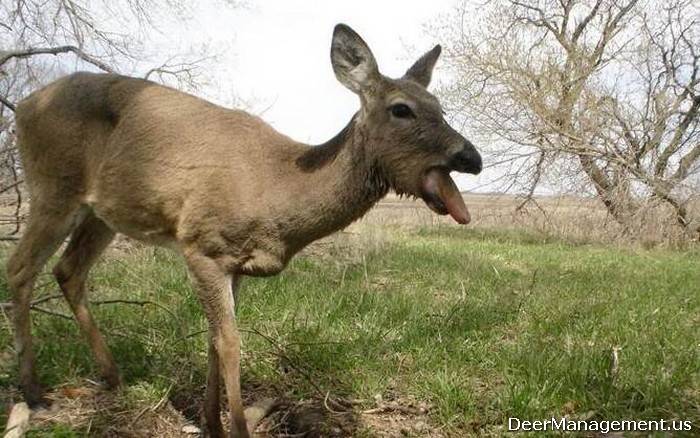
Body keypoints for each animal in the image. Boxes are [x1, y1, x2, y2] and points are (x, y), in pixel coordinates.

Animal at [7, 24, 481, 437]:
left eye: (440, 106)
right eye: (401, 108)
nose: (471, 157)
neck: (278, 192)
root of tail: (24, 105)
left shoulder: (237, 263)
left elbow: (214, 343)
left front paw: (212, 423)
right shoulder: (201, 245)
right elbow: (230, 343)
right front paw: (234, 427)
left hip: (102, 211)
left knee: (68, 271)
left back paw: (111, 376)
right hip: (53, 186)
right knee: (19, 268)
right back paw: (32, 392)